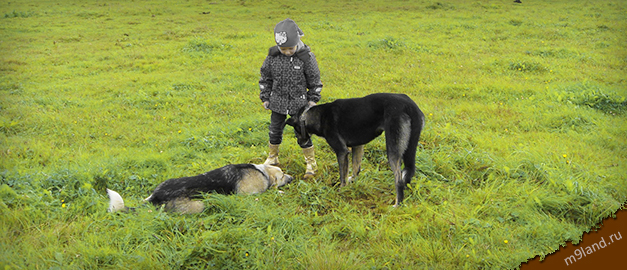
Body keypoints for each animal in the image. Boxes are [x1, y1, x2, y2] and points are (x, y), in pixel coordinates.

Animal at [108, 163, 294, 214]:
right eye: (282, 175)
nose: (292, 178)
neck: (263, 172)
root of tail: (156, 196)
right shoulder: (248, 195)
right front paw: (280, 191)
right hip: (199, 205)